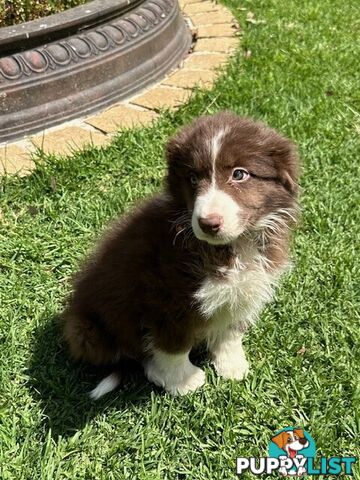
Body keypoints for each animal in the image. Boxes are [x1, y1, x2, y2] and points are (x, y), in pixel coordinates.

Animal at [63, 111, 300, 398]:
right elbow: (173, 345)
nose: (208, 223)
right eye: (193, 178)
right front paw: (183, 381)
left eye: (239, 174)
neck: (235, 246)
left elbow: (230, 330)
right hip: (87, 331)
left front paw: (231, 364)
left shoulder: (245, 289)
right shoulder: (164, 299)